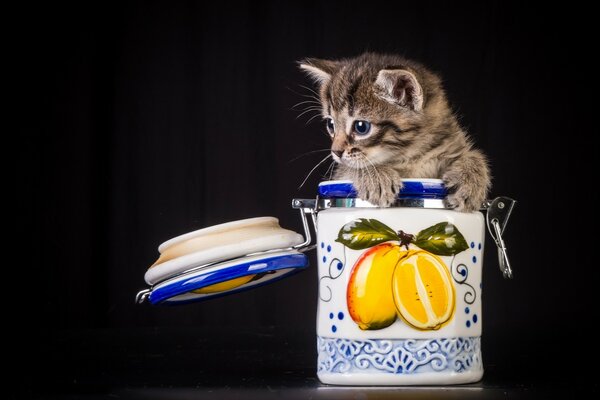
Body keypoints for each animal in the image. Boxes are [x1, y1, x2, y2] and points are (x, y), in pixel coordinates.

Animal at [302, 53, 490, 212]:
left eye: (361, 127)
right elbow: (349, 167)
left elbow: (473, 155)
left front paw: (470, 181)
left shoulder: (451, 142)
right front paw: (376, 176)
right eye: (331, 124)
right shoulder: (339, 172)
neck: (412, 155)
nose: (336, 152)